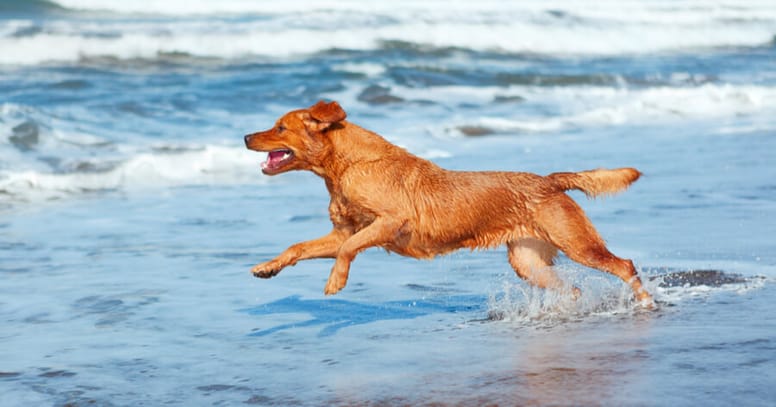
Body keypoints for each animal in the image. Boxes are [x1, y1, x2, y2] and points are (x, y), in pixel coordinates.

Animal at [244, 100, 656, 308]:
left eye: (280, 127)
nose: (246, 136)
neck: (346, 167)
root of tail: (550, 180)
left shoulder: (390, 222)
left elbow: (348, 250)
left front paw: (335, 281)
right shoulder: (342, 231)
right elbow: (298, 246)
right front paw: (268, 267)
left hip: (577, 243)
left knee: (624, 265)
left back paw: (646, 302)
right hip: (527, 262)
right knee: (571, 289)